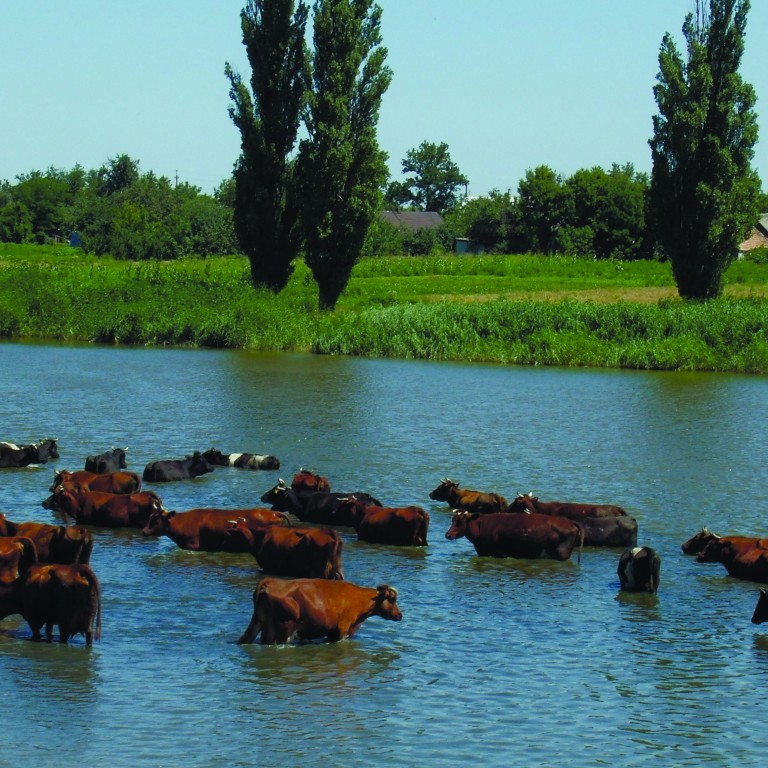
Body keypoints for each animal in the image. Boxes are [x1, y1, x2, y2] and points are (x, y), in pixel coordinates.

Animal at [237, 577, 402, 645]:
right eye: (393, 599)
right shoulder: (341, 630)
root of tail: (271, 581)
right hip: (284, 628)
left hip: (260, 622)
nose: (400, 615)